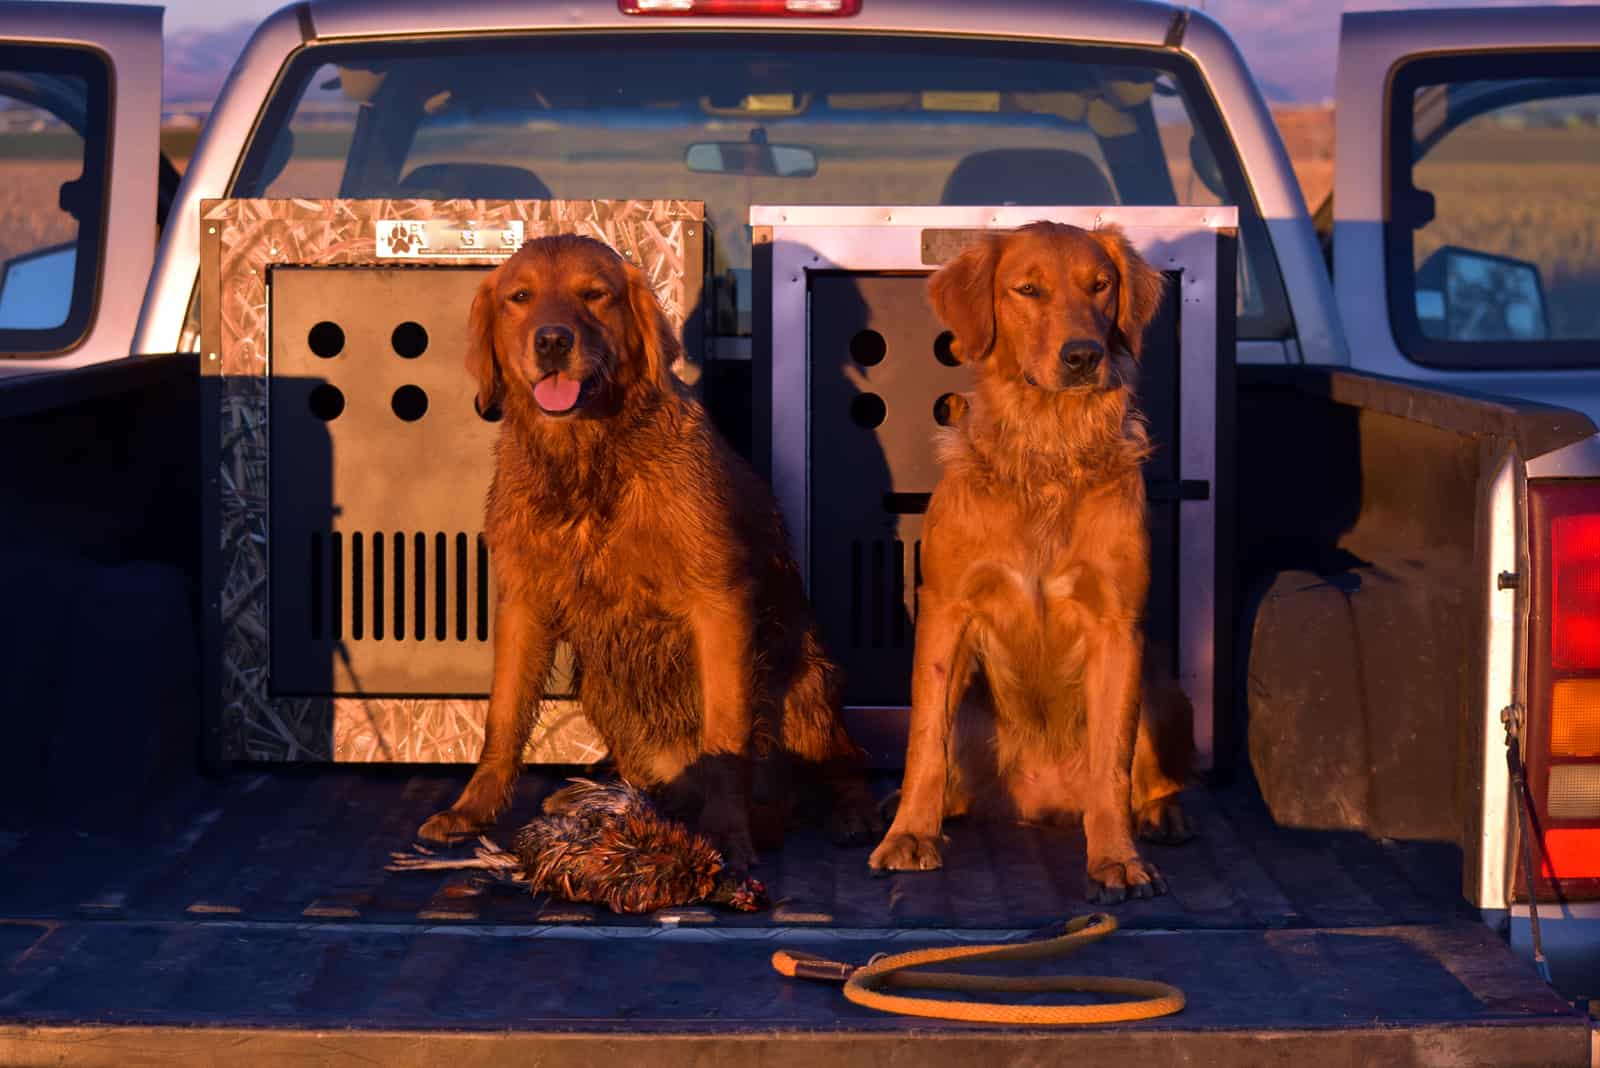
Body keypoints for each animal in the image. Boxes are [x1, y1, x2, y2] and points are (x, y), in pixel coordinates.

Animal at [419, 235, 883, 876]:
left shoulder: (718, 601)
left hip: (803, 682)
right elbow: (503, 720)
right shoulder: (522, 602)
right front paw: (472, 810)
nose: (552, 340)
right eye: (520, 297)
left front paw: (727, 835)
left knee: (844, 759)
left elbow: (724, 738)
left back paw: (850, 812)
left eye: (595, 294)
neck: (589, 462)